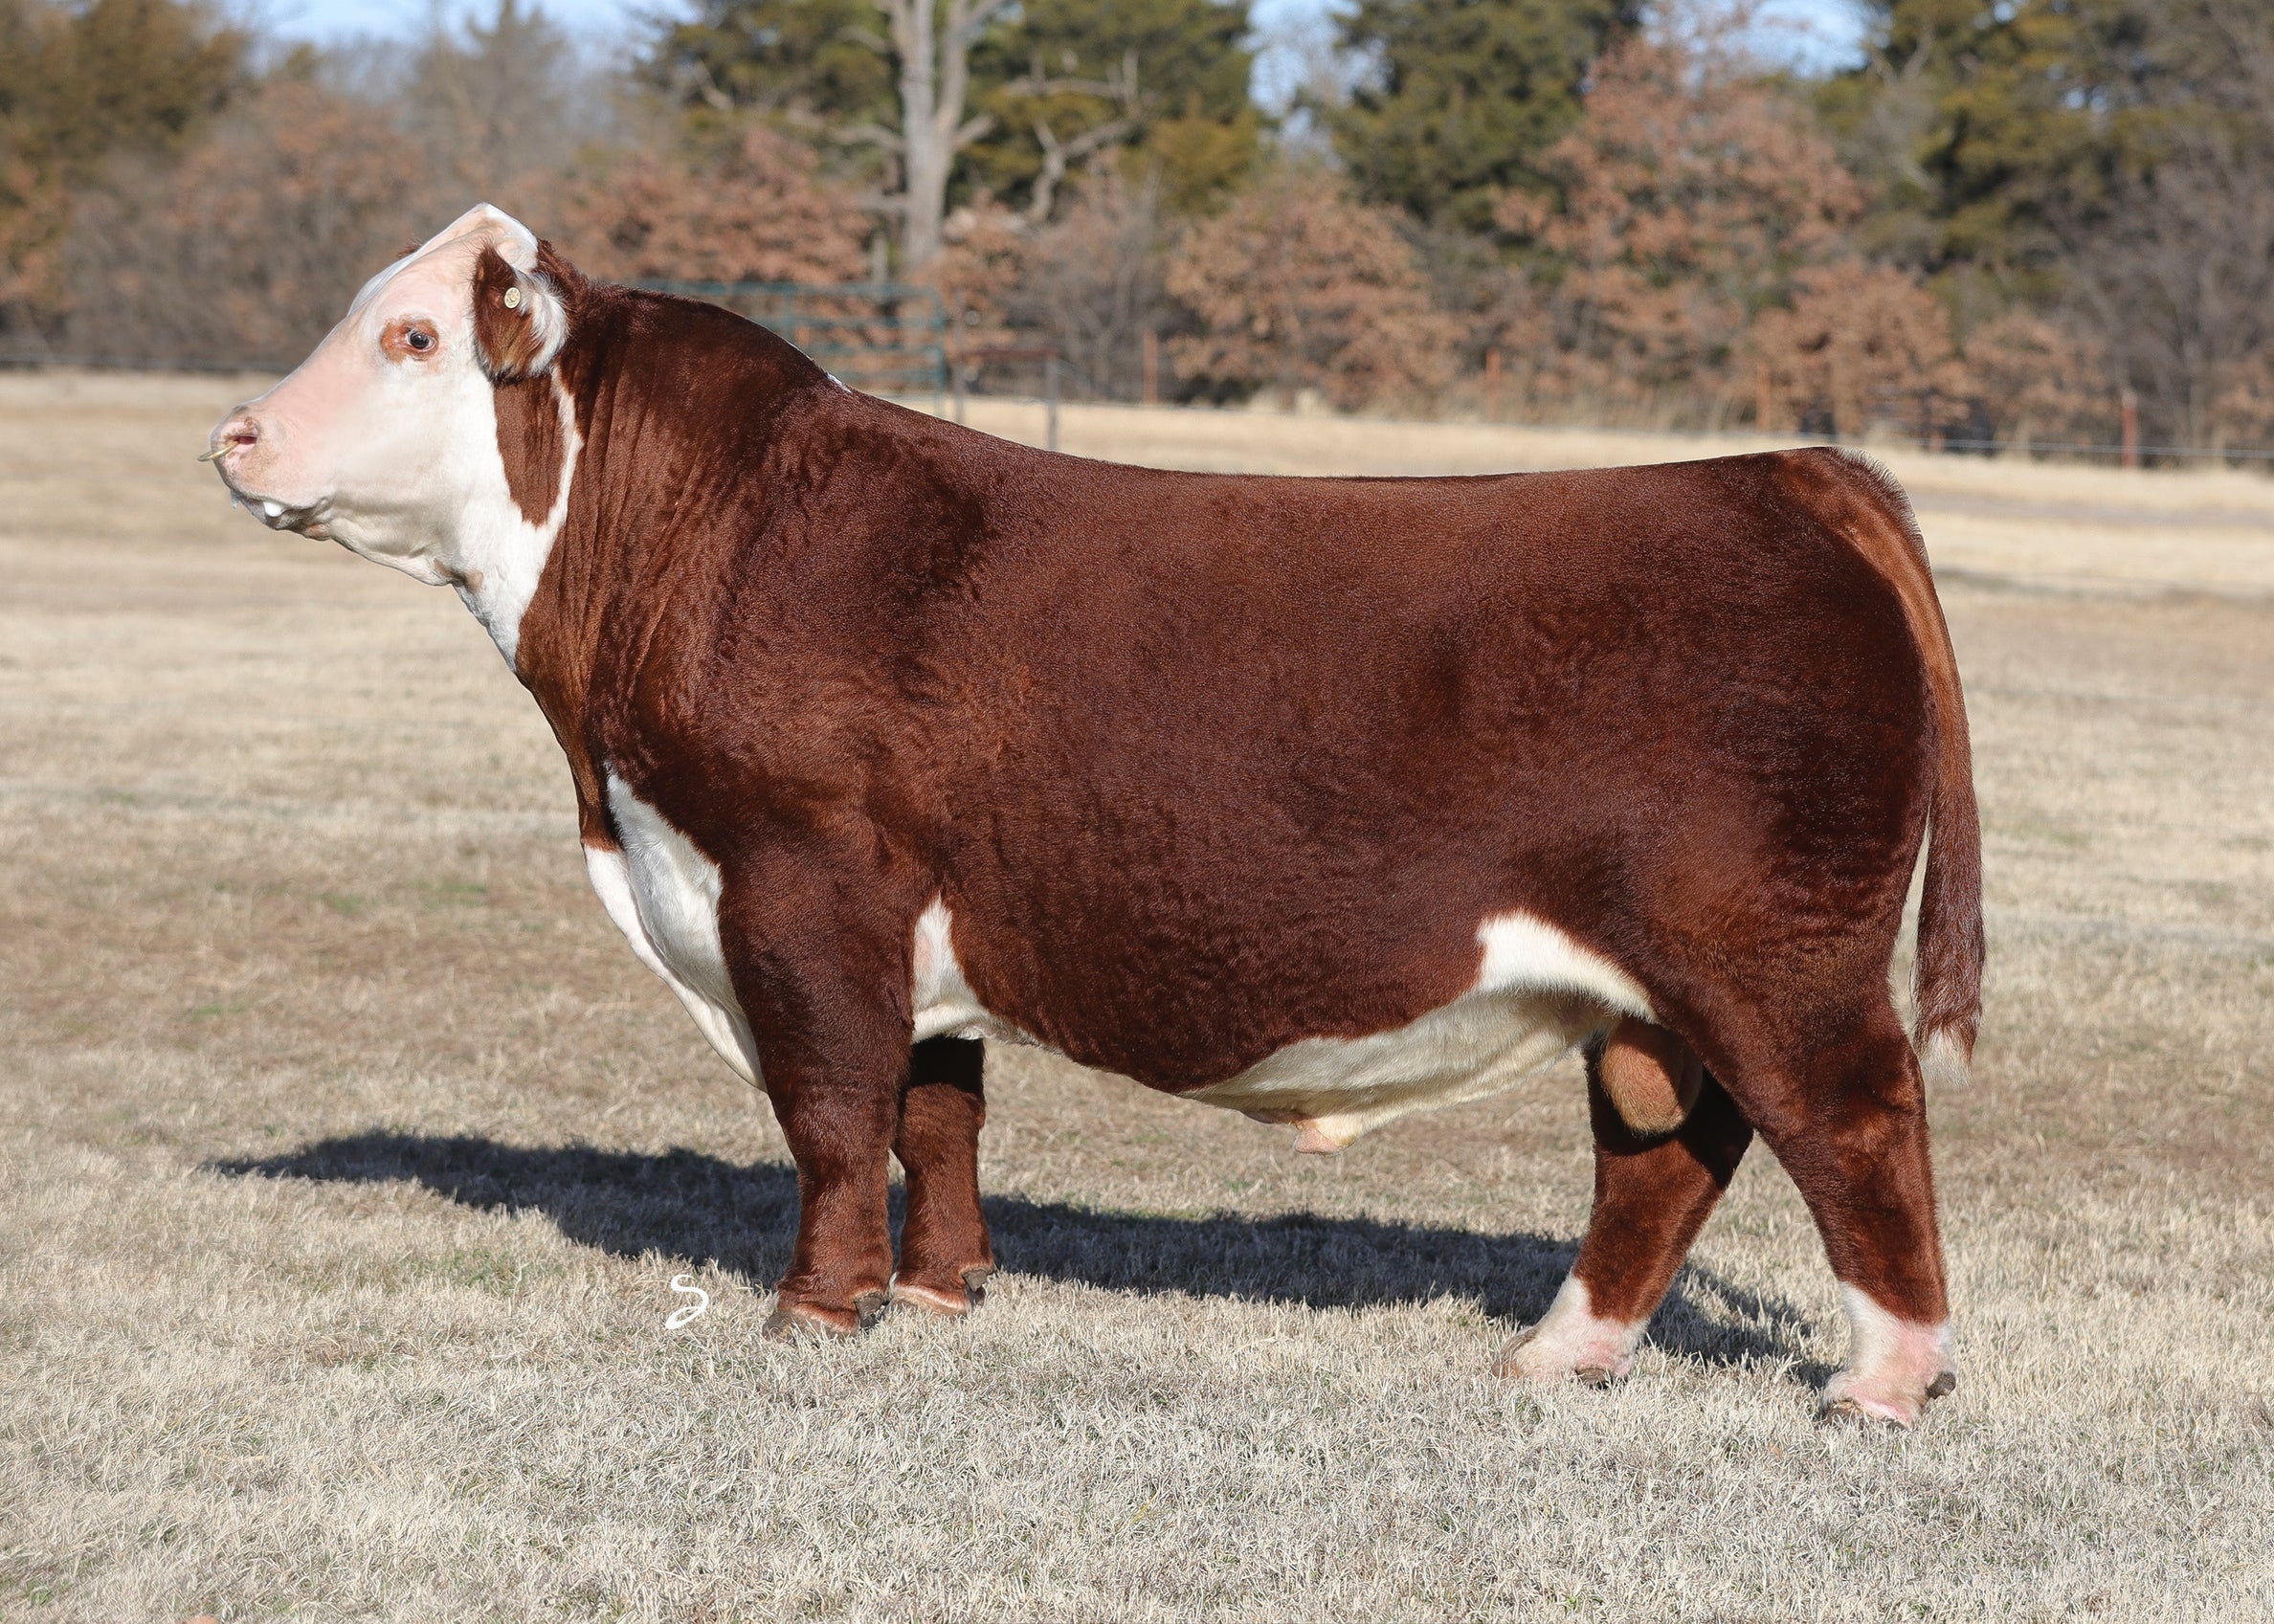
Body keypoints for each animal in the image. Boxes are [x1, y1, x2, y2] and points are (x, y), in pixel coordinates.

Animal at [206, 205, 1983, 1426]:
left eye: (412, 338)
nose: (235, 436)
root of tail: (1785, 471)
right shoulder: (908, 919)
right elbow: (936, 1109)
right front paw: (938, 1293)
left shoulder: (799, 889)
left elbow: (833, 1114)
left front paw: (815, 1311)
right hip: (1657, 988)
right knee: (1665, 1152)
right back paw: (1559, 1352)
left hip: (1776, 958)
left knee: (1856, 1121)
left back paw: (1882, 1385)